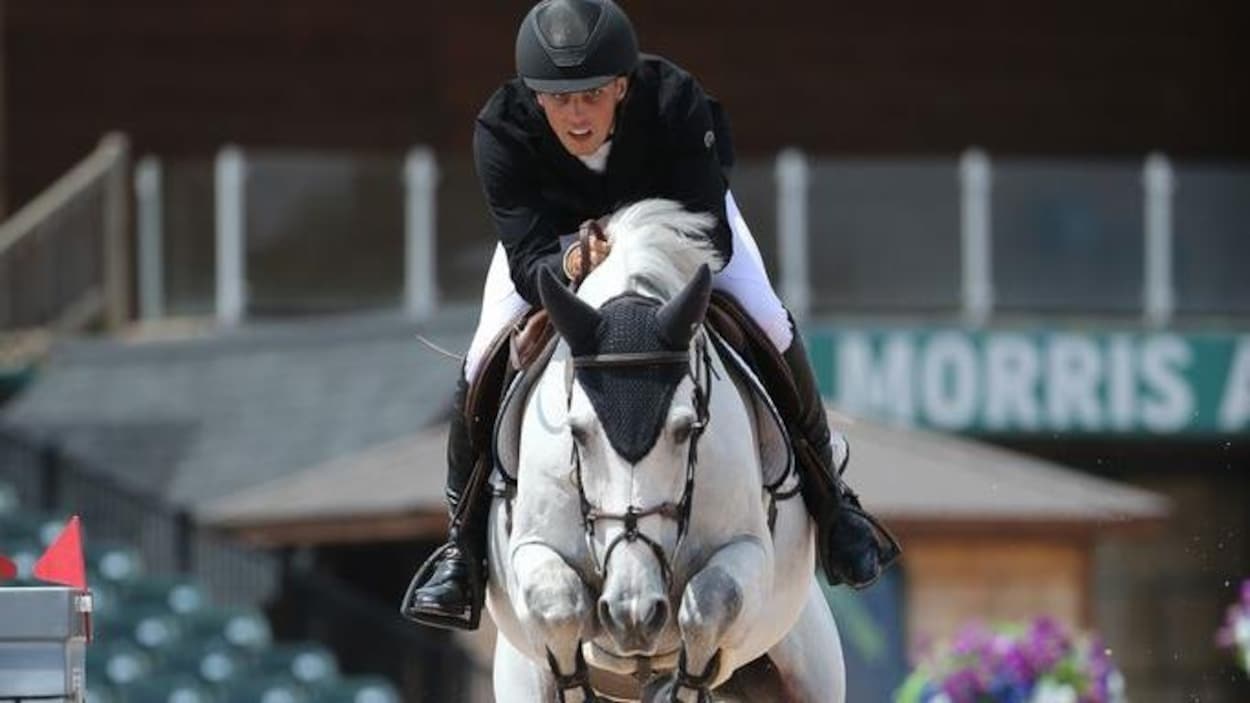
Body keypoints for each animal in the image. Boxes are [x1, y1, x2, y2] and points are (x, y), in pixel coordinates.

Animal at [482, 198, 845, 700]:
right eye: (578, 433)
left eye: (685, 429)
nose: (633, 615)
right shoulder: (531, 549)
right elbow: (556, 600)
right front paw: (579, 682)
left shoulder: (749, 550)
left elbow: (712, 601)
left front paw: (683, 684)